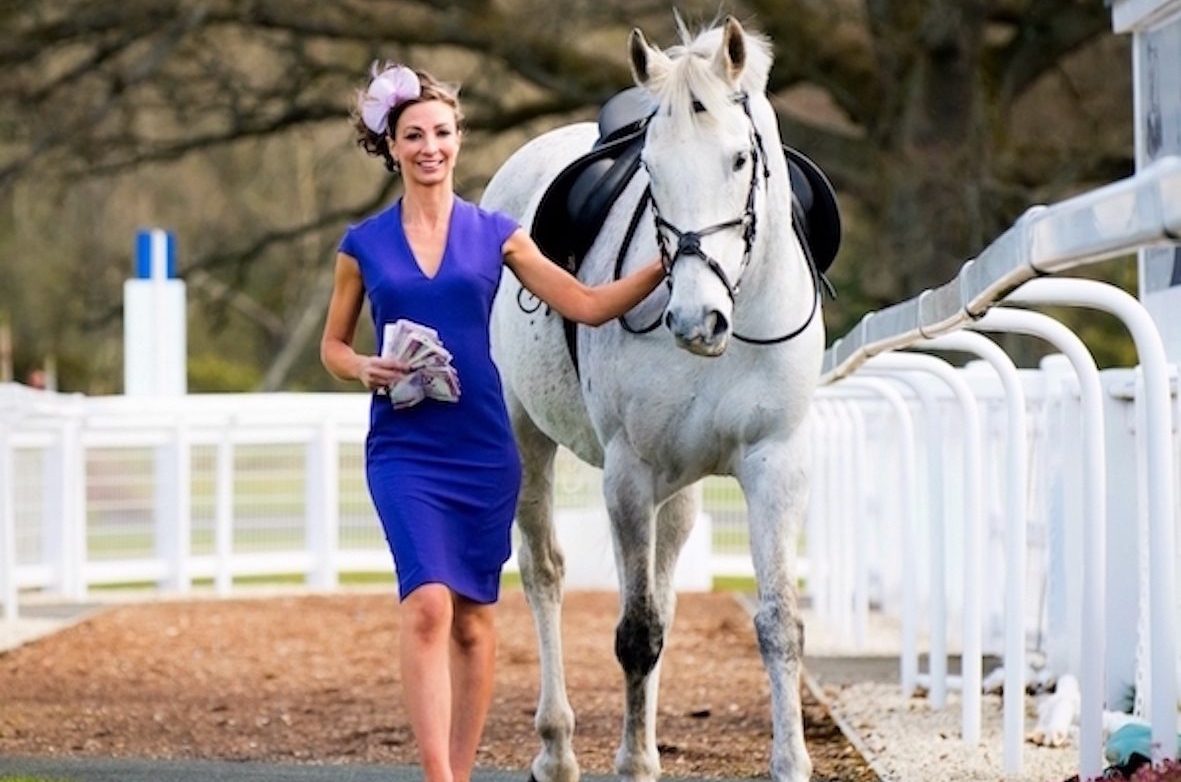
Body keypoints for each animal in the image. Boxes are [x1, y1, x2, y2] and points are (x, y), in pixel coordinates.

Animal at [479, 16, 821, 782]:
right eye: (651, 170)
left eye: (738, 160)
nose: (695, 319)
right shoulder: (629, 474)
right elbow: (636, 632)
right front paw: (631, 762)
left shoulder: (776, 464)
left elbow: (777, 622)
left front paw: (789, 761)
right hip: (526, 436)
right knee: (544, 572)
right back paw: (557, 747)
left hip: (680, 484)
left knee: (662, 584)